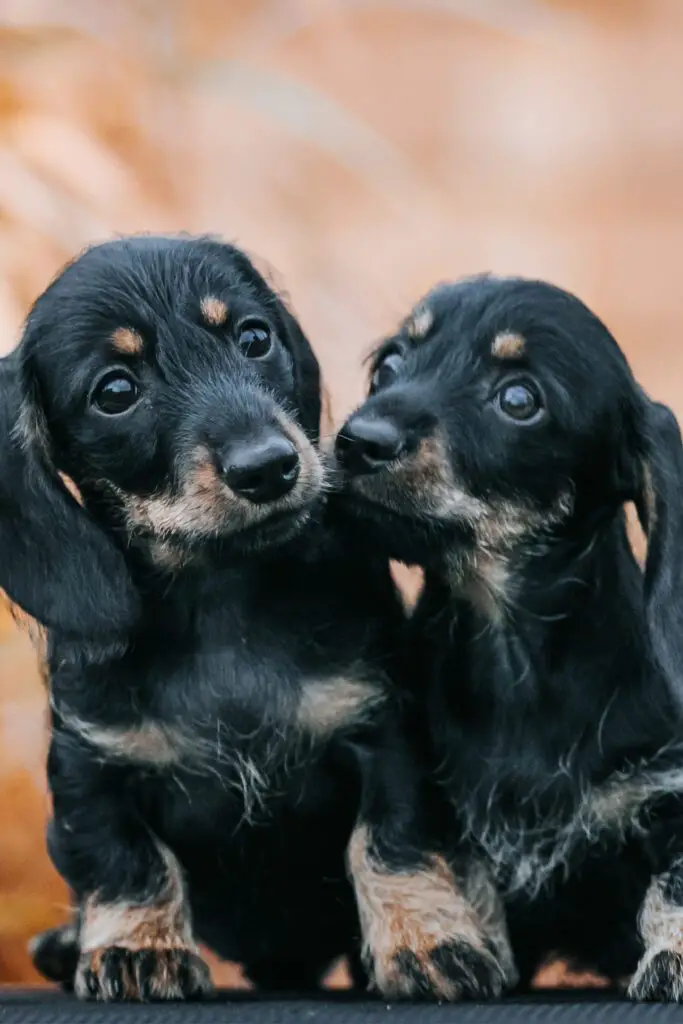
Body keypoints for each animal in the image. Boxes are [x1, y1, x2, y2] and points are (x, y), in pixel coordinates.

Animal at [1, 235, 481, 1003]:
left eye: (254, 338)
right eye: (115, 391)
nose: (269, 467)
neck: (223, 599)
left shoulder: (383, 730)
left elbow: (393, 844)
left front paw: (428, 943)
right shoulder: (90, 763)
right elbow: (126, 860)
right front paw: (139, 949)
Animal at [335, 274, 683, 999]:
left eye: (519, 399)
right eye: (388, 367)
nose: (358, 439)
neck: (513, 661)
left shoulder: (664, 790)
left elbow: (674, 885)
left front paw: (674, 957)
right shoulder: (404, 761)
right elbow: (392, 843)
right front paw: (427, 941)